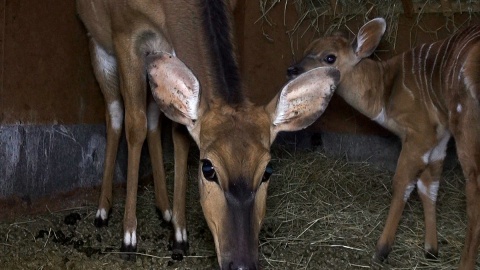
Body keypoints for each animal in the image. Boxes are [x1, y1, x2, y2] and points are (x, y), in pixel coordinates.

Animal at [77, 0, 340, 268]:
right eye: (208, 168)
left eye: (267, 170)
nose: (242, 263)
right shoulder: (124, 34)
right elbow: (135, 125)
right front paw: (129, 238)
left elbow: (180, 132)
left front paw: (180, 235)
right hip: (97, 45)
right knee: (116, 113)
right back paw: (103, 211)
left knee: (153, 119)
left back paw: (164, 209)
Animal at [286, 17, 480, 268]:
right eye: (306, 49)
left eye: (330, 57)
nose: (292, 70)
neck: (385, 91)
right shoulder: (438, 139)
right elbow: (428, 186)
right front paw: (431, 249)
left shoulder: (419, 134)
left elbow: (402, 184)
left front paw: (381, 251)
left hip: (467, 124)